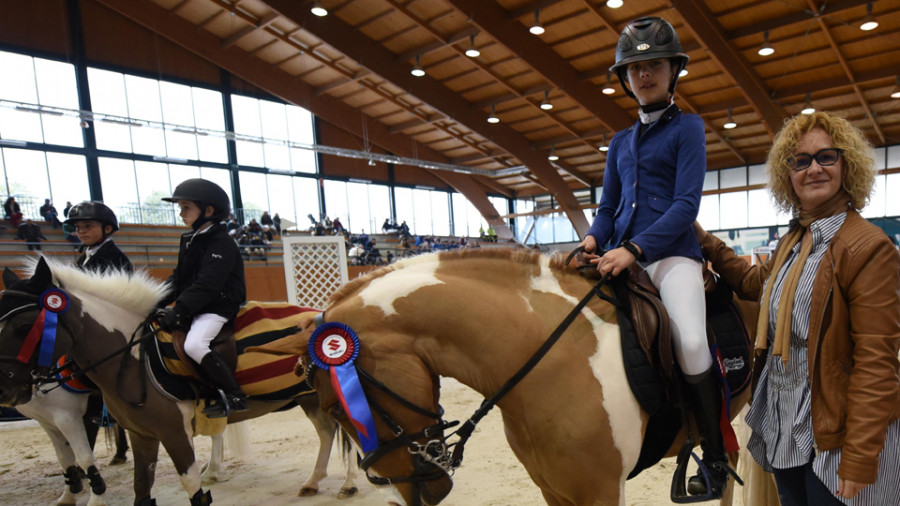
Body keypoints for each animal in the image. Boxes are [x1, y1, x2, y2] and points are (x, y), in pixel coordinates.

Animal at [0, 258, 358, 506]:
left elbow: (188, 487)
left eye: (24, 326)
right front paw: (71, 496)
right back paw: (313, 481)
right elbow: (134, 486)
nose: (7, 388)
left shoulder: (165, 431)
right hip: (309, 398)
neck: (135, 358)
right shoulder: (138, 434)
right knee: (327, 434)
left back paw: (349, 484)